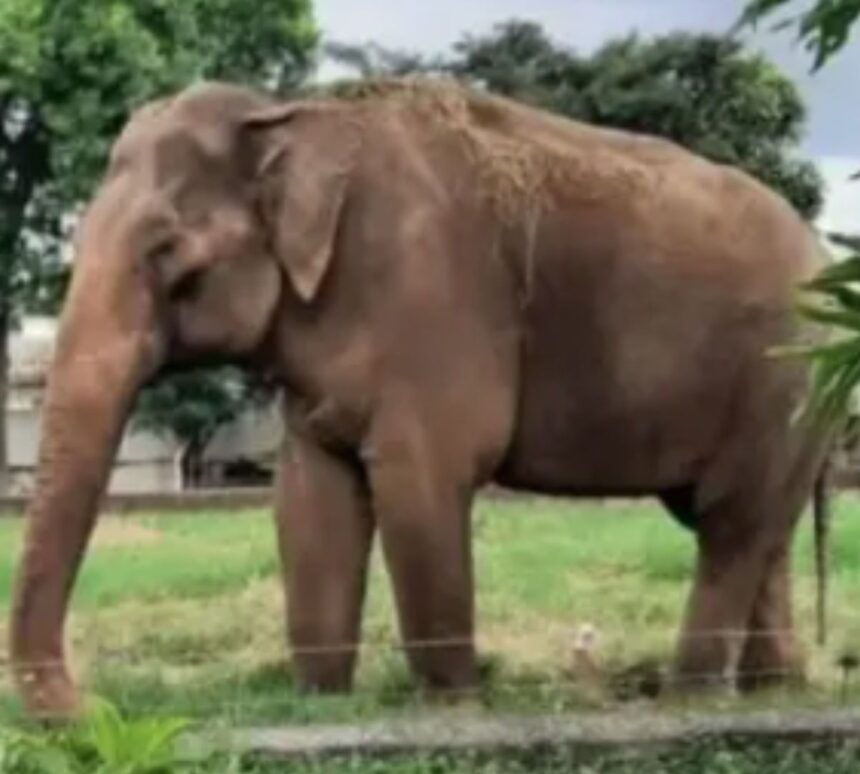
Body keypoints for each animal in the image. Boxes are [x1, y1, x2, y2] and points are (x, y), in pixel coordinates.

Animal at [9, 76, 832, 718]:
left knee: (731, 522)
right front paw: (320, 703)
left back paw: (689, 700)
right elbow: (309, 499)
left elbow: (420, 485)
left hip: (781, 375)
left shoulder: (430, 302)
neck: (292, 115)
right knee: (750, 524)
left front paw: (453, 707)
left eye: (168, 254)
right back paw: (773, 689)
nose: (97, 708)